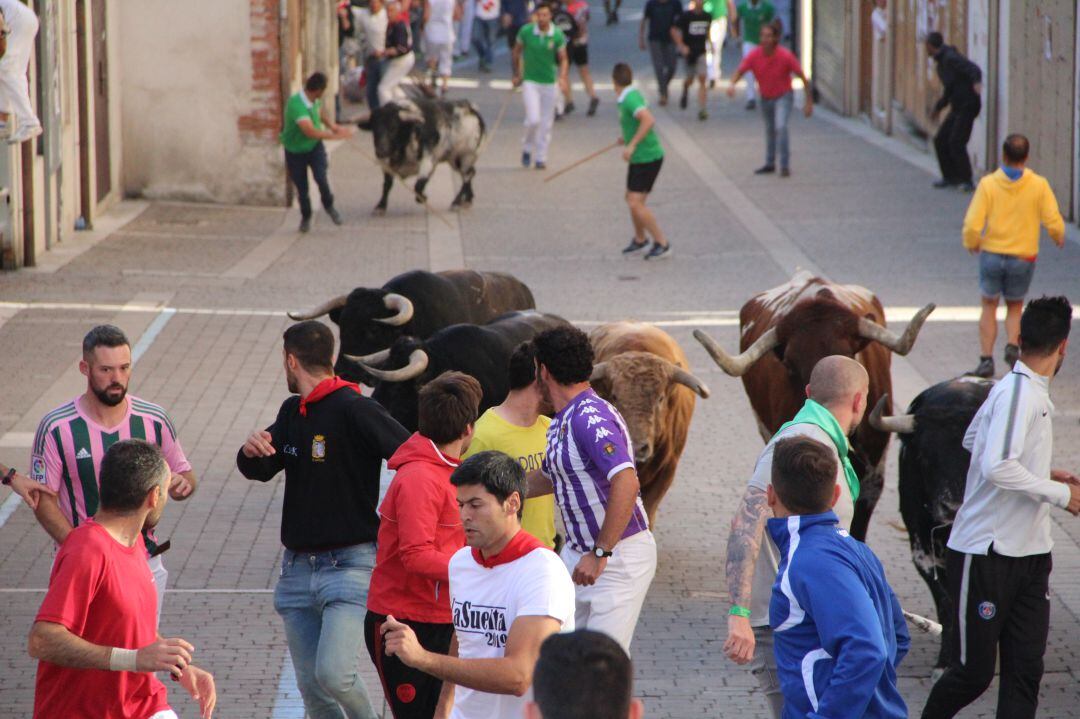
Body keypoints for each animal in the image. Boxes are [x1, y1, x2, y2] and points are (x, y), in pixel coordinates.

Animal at [868, 375, 993, 665]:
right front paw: (945, 661)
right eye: (924, 456)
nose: (953, 508)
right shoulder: (922, 551)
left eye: (975, 455)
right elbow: (946, 602)